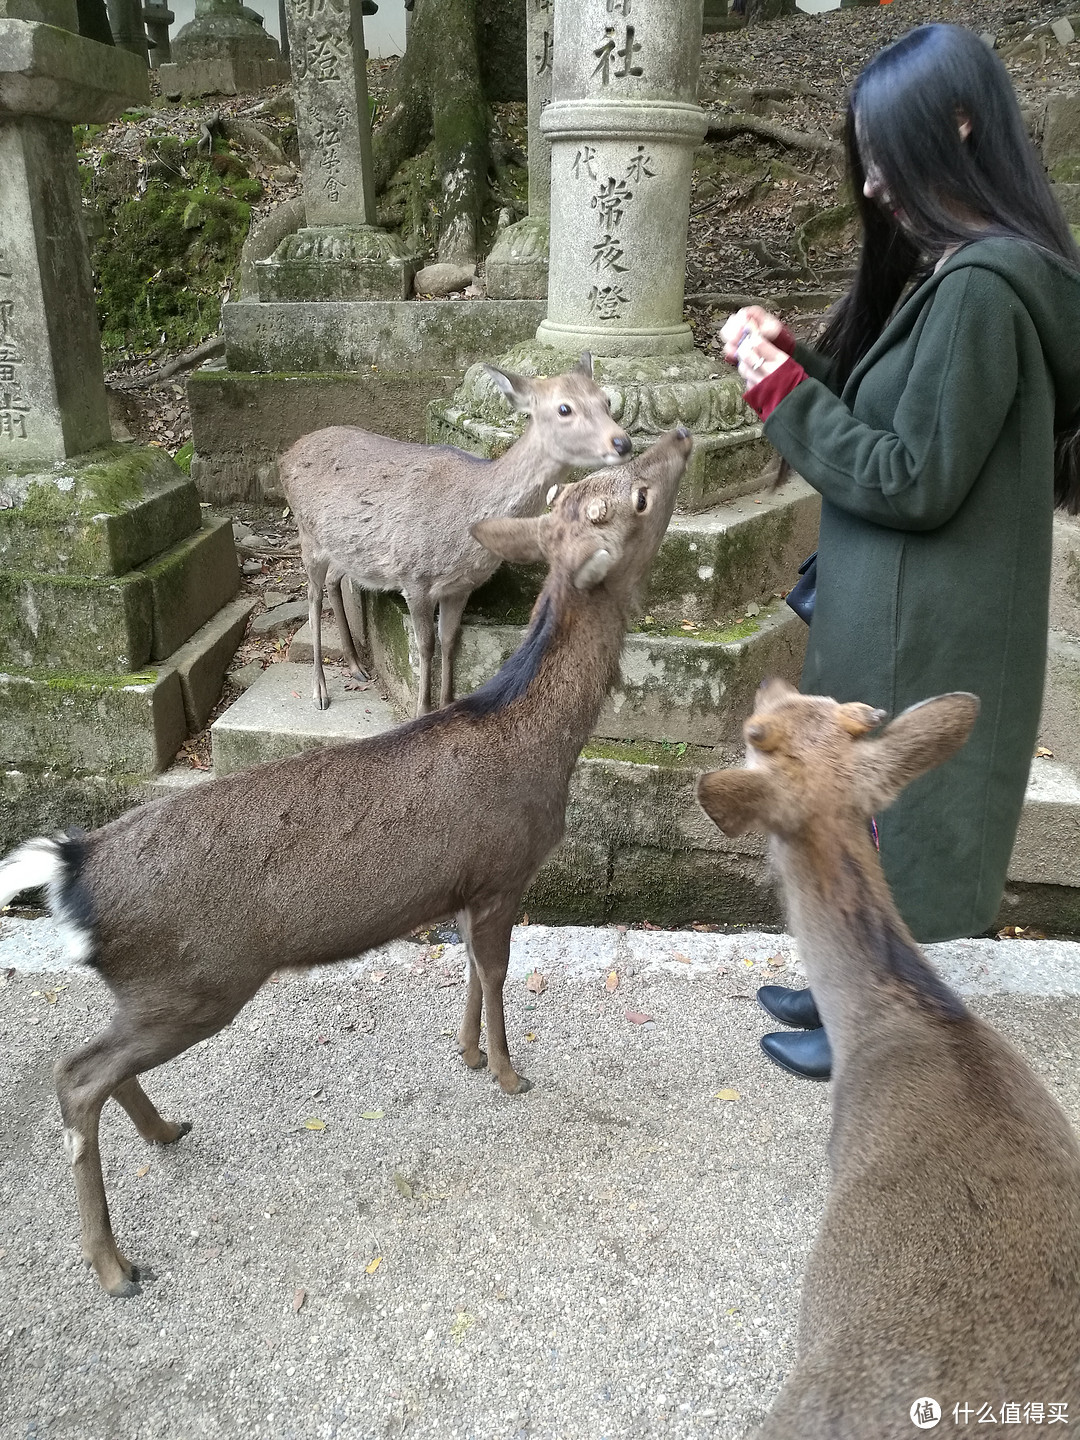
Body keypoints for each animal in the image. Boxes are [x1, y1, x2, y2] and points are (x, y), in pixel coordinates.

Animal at [0, 423, 694, 1296]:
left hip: (159, 991)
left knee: (98, 1067)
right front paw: (509, 1072)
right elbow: (498, 971)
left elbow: (472, 970)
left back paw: (166, 1132)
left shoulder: (466, 885)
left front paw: (467, 1054)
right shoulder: (507, 870)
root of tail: (70, 871)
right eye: (637, 496)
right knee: (76, 1075)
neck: (546, 745)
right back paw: (113, 1264)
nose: (677, 435)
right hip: (194, 980)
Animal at [279, 354, 633, 714]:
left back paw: (355, 666)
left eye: (606, 401)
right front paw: (422, 710)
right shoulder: (413, 577)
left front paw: (447, 703)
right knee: (312, 595)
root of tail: (286, 454)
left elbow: (449, 640)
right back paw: (320, 690)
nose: (622, 442)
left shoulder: (461, 586)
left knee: (335, 580)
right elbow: (425, 645)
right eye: (564, 408)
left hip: (347, 549)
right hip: (307, 534)